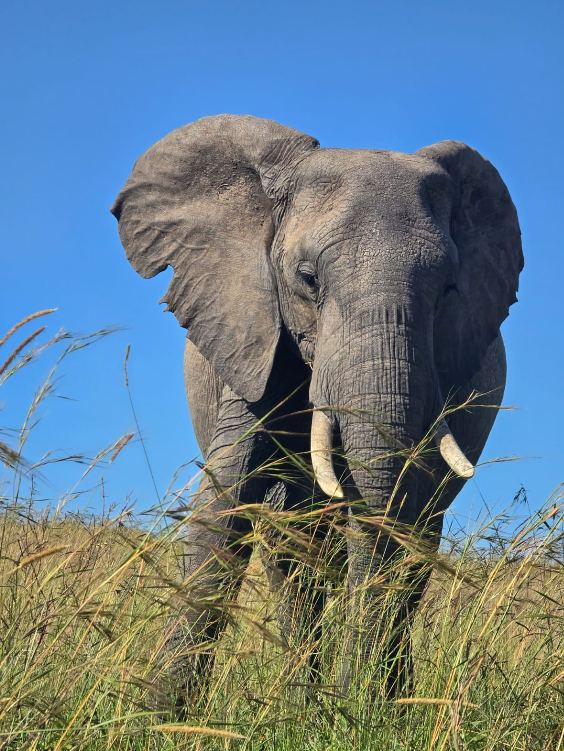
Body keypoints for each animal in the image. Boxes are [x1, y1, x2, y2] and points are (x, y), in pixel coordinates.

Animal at [111, 115, 522, 707]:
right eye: (308, 278)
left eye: (449, 290)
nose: (357, 697)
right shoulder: (253, 332)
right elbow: (227, 499)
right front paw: (159, 716)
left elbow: (400, 511)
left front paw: (373, 708)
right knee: (291, 559)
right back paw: (305, 701)